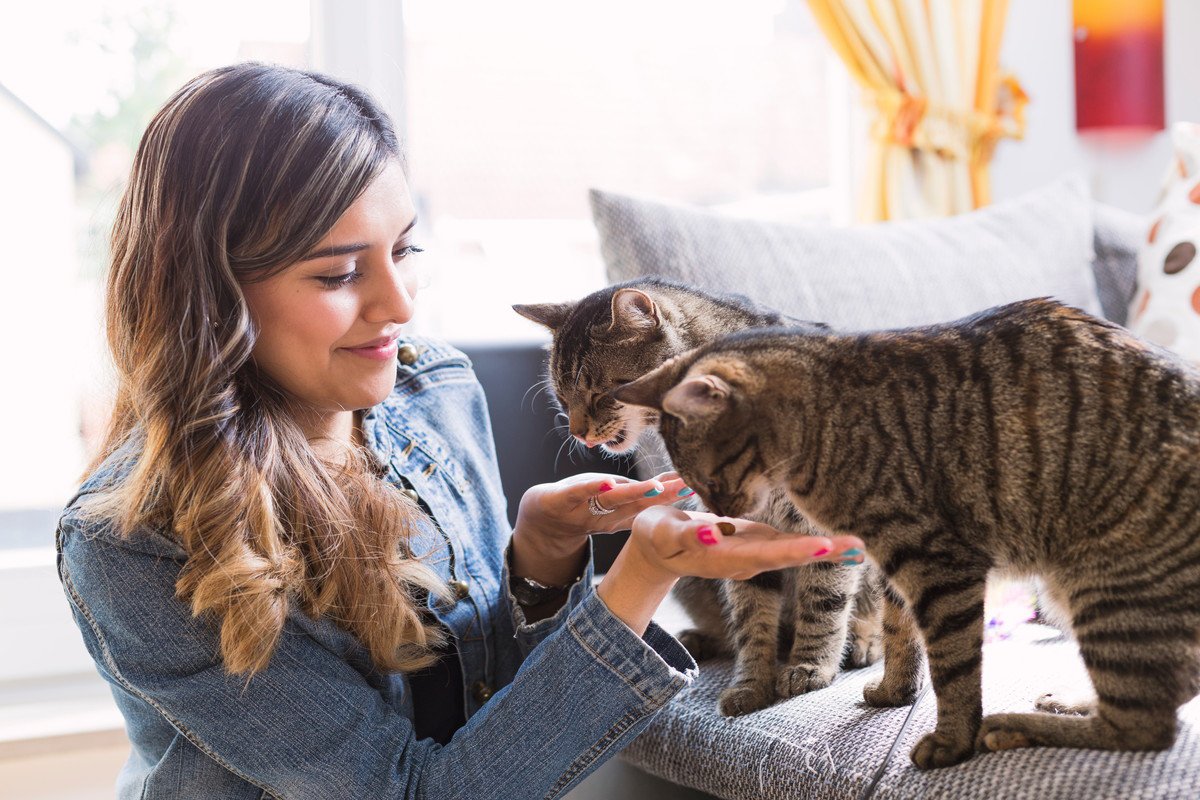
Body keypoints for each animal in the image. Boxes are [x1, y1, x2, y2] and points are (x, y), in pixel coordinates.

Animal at [513, 278, 883, 714]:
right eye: (561, 397)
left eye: (603, 394)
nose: (576, 432)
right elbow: (751, 617)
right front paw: (751, 683)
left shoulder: (820, 527)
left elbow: (824, 600)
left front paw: (810, 666)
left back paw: (864, 641)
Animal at [614, 298, 1200, 767]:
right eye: (694, 484)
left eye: (711, 478)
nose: (717, 512)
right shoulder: (892, 563)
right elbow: (903, 637)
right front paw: (896, 691)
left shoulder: (938, 567)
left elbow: (953, 669)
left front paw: (952, 740)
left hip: (1103, 590)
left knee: (1144, 726)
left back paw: (1013, 726)